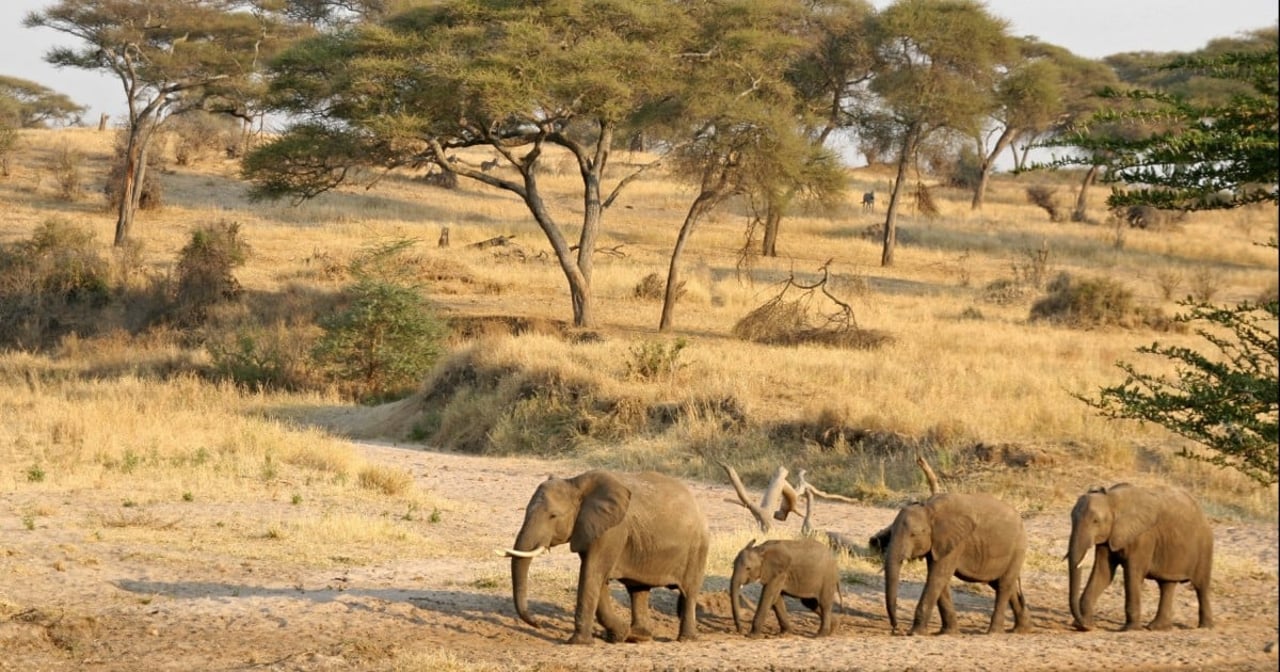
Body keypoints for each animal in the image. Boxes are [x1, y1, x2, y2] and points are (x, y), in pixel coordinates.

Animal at [499, 468, 716, 642]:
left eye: (553, 516)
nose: (537, 623)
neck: (576, 484)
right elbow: (597, 578)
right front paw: (620, 635)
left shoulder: (612, 531)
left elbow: (591, 573)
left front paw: (579, 643)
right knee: (638, 590)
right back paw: (640, 636)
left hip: (697, 548)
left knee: (689, 592)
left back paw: (685, 639)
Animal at [880, 488, 1029, 637]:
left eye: (913, 535)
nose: (896, 628)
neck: (929, 509)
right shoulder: (938, 544)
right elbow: (940, 579)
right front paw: (948, 633)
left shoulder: (955, 542)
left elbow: (937, 577)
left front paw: (915, 633)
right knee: (1002, 584)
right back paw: (1022, 629)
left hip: (1018, 548)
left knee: (1004, 585)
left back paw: (994, 632)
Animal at [1064, 481, 1213, 629]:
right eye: (1071, 519)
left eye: (1095, 521)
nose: (1085, 625)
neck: (1112, 500)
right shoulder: (1109, 536)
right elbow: (1103, 573)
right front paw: (1084, 626)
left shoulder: (1143, 537)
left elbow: (1132, 573)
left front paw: (1129, 629)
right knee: (1167, 584)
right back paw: (1156, 627)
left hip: (1204, 546)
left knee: (1201, 586)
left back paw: (1205, 626)